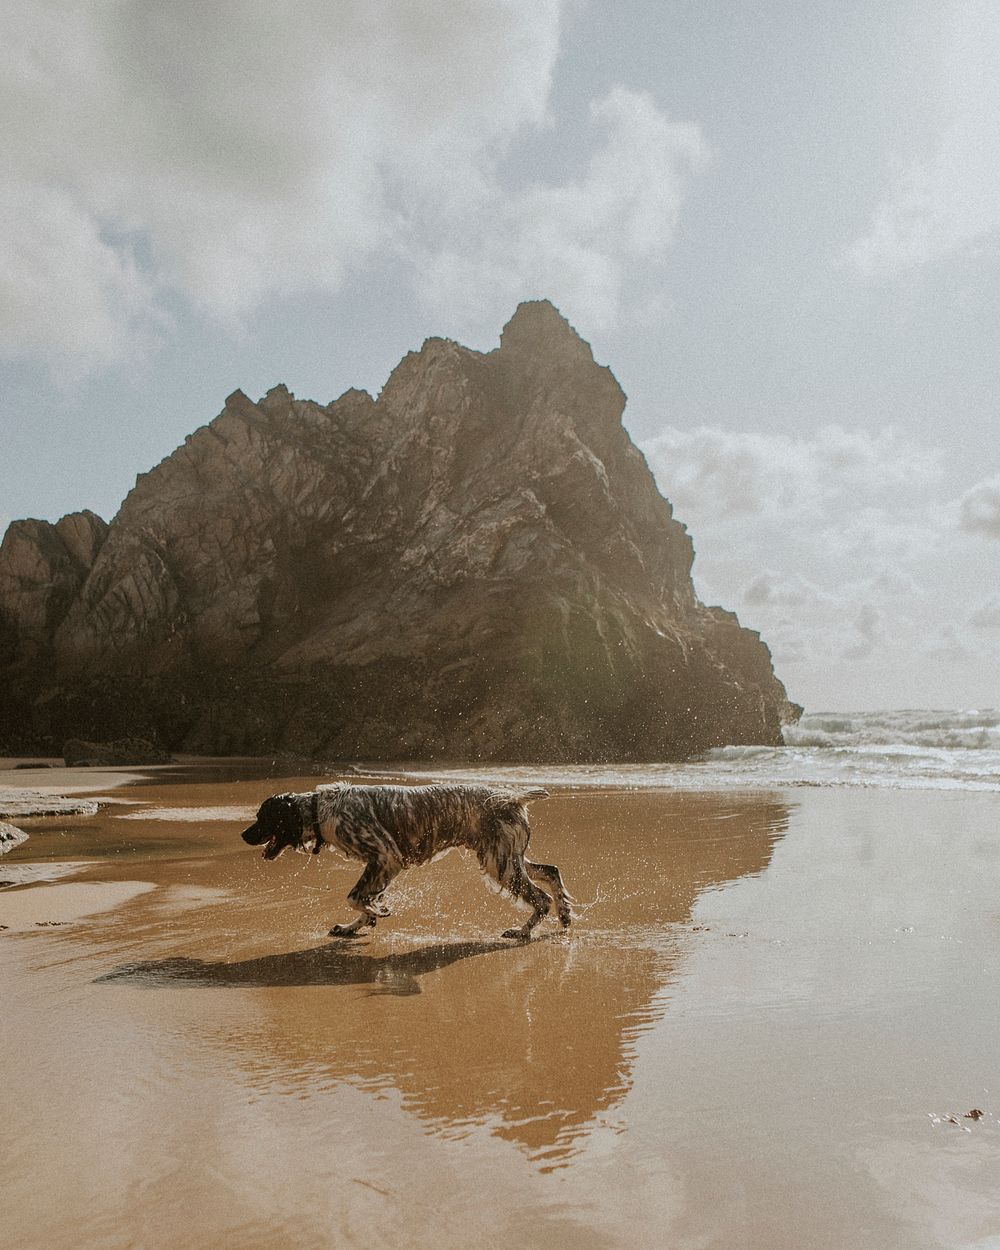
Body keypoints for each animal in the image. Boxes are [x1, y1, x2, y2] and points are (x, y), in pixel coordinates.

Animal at [238, 775, 575, 940]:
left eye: (262, 817)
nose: (243, 835)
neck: (320, 810)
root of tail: (512, 797)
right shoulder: (379, 866)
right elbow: (363, 900)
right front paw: (355, 925)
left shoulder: (386, 858)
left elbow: (355, 897)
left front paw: (376, 913)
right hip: (508, 857)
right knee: (552, 872)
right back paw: (565, 915)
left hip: (500, 864)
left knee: (541, 898)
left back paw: (523, 932)